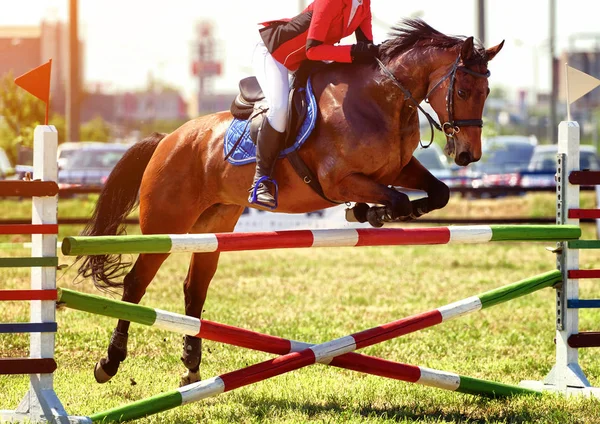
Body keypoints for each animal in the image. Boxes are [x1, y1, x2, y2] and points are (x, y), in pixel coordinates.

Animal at [77, 19, 504, 384]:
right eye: (463, 91)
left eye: (486, 94)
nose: (468, 156)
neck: (383, 99)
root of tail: (167, 138)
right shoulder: (339, 180)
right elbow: (393, 198)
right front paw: (370, 211)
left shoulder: (398, 169)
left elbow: (437, 192)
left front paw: (385, 211)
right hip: (167, 223)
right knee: (136, 283)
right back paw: (109, 363)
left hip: (213, 225)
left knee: (194, 289)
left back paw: (191, 367)